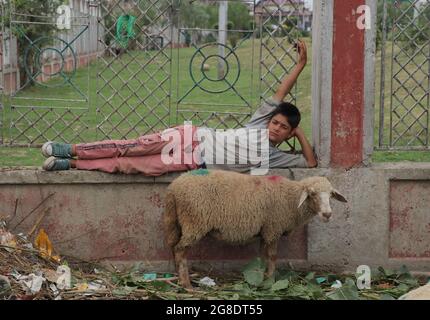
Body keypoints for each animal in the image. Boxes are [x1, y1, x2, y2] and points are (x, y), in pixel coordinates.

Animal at [163, 169, 348, 288]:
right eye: (312, 194)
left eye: (331, 194)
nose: (327, 214)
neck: (291, 198)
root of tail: (173, 187)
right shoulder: (273, 228)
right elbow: (272, 257)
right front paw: (270, 280)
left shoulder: (265, 231)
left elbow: (263, 256)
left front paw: (261, 276)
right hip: (194, 222)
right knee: (180, 250)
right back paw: (187, 285)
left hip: (177, 223)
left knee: (173, 247)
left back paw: (178, 278)